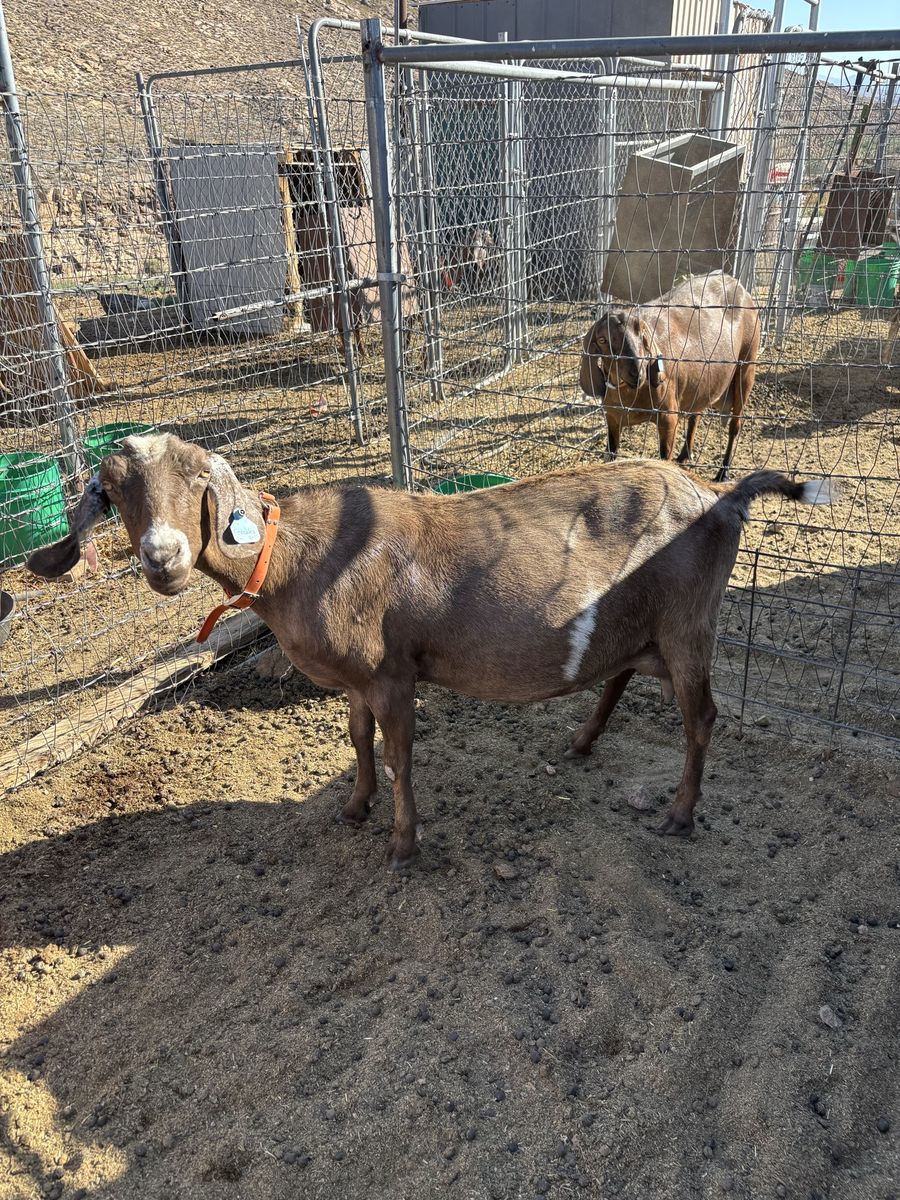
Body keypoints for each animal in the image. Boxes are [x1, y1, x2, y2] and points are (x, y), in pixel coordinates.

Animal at [28, 434, 835, 870]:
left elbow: (398, 753)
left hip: (689, 625)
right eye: (113, 493)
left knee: (702, 717)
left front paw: (402, 844)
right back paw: (581, 742)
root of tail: (721, 497)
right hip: (643, 629)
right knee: (620, 678)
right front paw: (354, 809)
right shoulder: (356, 679)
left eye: (197, 481)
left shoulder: (392, 672)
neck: (294, 558)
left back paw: (679, 813)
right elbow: (357, 742)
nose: (162, 558)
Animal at [580, 272, 761, 481]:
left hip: (746, 365)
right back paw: (684, 456)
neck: (631, 395)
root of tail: (734, 281)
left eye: (641, 333)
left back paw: (723, 472)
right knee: (696, 413)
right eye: (602, 340)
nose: (637, 372)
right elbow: (610, 454)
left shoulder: (668, 416)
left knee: (735, 424)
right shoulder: (612, 416)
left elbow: (664, 457)